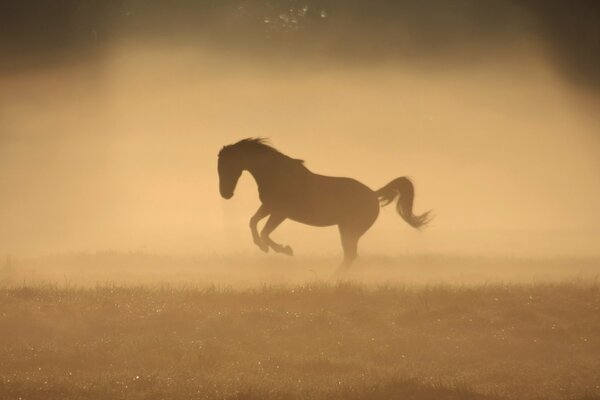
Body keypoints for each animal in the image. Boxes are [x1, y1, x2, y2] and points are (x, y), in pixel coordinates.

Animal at [217, 138, 432, 272]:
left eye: (228, 165)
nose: (225, 194)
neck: (277, 174)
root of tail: (373, 193)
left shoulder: (280, 212)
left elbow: (264, 232)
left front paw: (284, 250)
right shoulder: (269, 208)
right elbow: (253, 223)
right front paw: (263, 248)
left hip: (349, 230)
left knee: (350, 255)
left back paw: (333, 279)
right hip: (347, 230)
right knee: (350, 255)